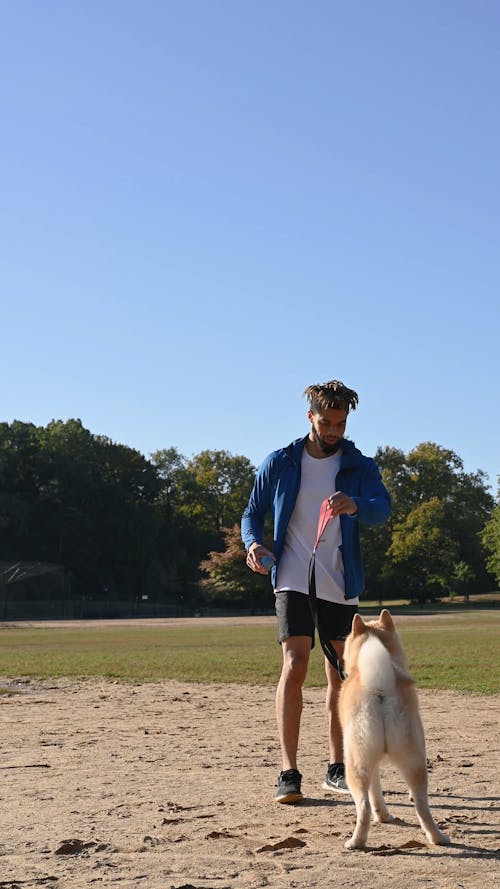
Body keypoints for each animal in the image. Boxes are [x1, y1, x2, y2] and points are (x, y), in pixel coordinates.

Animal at [340, 608, 450, 848]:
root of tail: (380, 688)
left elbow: (374, 794)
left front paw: (382, 816)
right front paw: (384, 815)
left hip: (353, 765)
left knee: (363, 806)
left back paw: (356, 842)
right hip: (414, 760)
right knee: (421, 804)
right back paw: (438, 838)